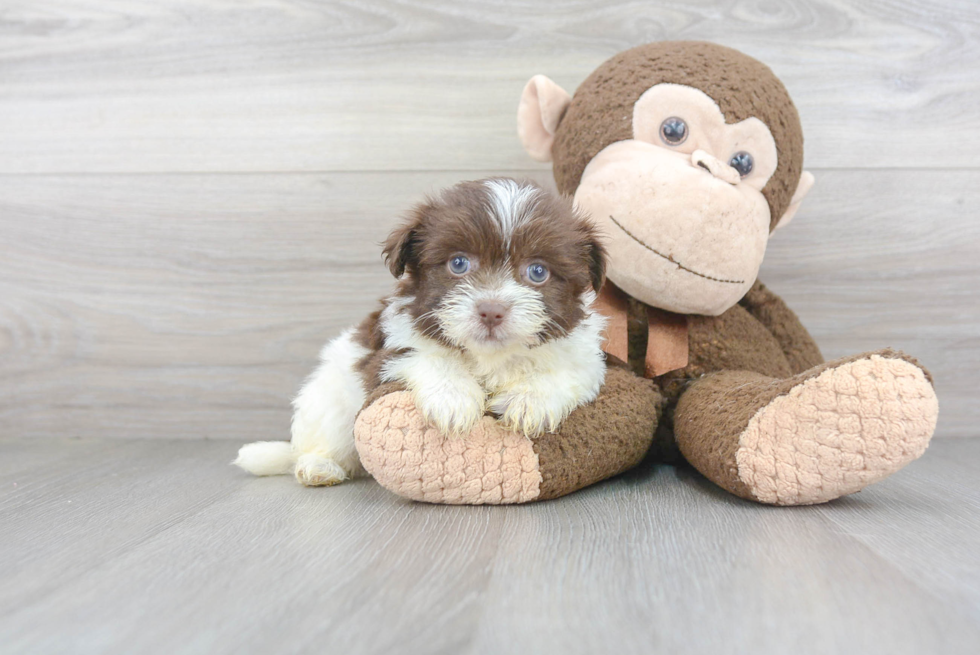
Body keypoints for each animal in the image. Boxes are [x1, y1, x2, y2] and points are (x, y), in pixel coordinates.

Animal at [234, 177, 608, 484]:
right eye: (458, 263)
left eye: (538, 271)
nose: (491, 310)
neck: (489, 355)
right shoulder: (389, 349)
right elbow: (428, 357)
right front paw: (452, 399)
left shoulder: (585, 357)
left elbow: (565, 372)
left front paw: (531, 400)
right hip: (327, 402)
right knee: (321, 441)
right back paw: (319, 466)